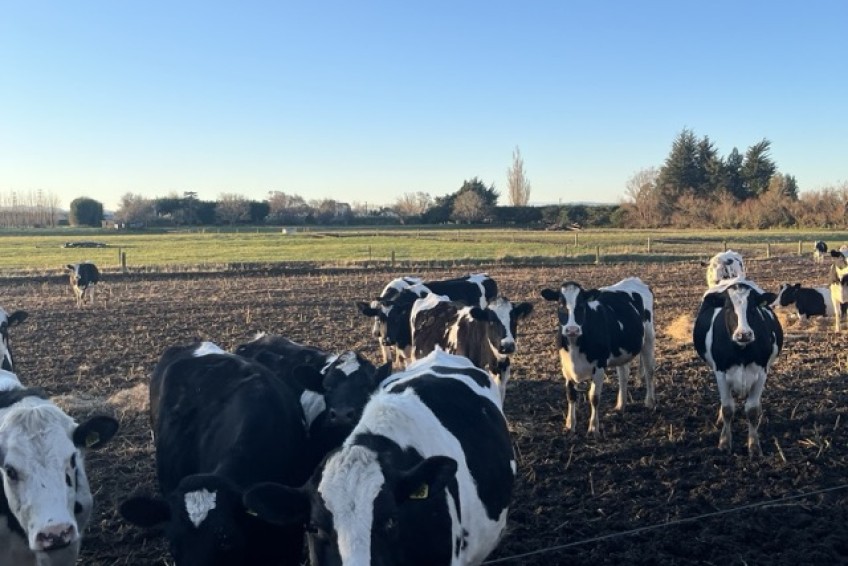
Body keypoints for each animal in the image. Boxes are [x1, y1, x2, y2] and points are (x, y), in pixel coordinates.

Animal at [540, 277, 656, 437]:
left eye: (581, 305)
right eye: (560, 304)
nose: (572, 329)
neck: (575, 346)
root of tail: (634, 279)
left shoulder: (600, 366)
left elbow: (594, 397)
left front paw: (593, 428)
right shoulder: (566, 367)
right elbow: (571, 395)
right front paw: (570, 425)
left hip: (649, 338)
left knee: (649, 370)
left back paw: (649, 402)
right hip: (622, 351)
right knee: (623, 375)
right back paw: (620, 405)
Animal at [693, 278, 782, 456]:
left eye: (753, 308)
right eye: (728, 307)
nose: (744, 334)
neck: (742, 351)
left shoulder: (762, 372)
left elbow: (752, 411)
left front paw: (754, 445)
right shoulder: (720, 372)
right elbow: (728, 408)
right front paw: (724, 442)